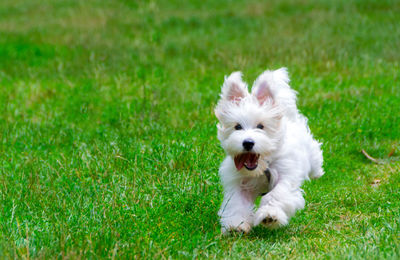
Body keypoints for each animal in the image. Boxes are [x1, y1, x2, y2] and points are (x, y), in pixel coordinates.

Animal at [214, 67, 324, 234]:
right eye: (237, 126)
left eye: (261, 126)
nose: (248, 143)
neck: (263, 166)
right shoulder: (238, 182)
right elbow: (236, 203)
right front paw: (237, 224)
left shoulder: (286, 175)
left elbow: (275, 195)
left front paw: (269, 215)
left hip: (311, 153)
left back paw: (317, 173)